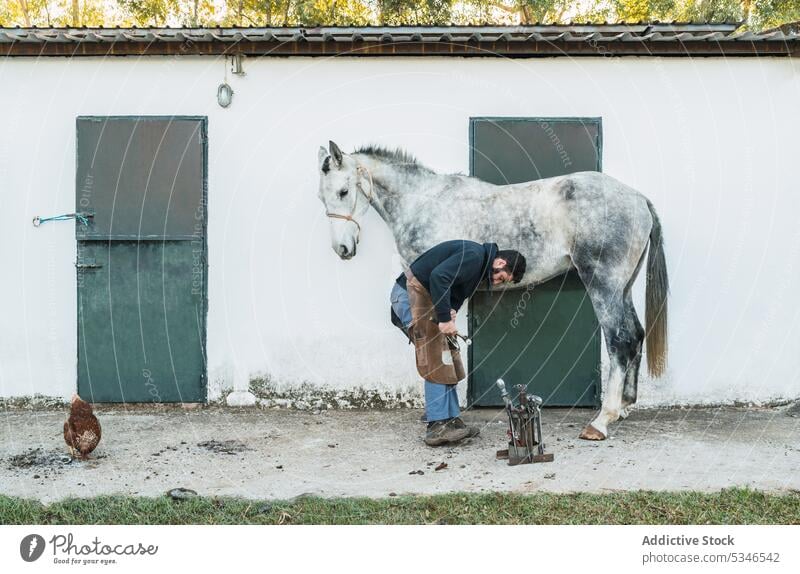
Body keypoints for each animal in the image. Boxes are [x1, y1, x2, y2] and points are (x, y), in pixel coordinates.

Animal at [316, 140, 664, 440]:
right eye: (322, 197)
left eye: (343, 191)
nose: (342, 249)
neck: (424, 202)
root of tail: (638, 198)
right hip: (623, 286)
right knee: (635, 335)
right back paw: (624, 407)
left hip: (603, 283)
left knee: (619, 340)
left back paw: (601, 421)